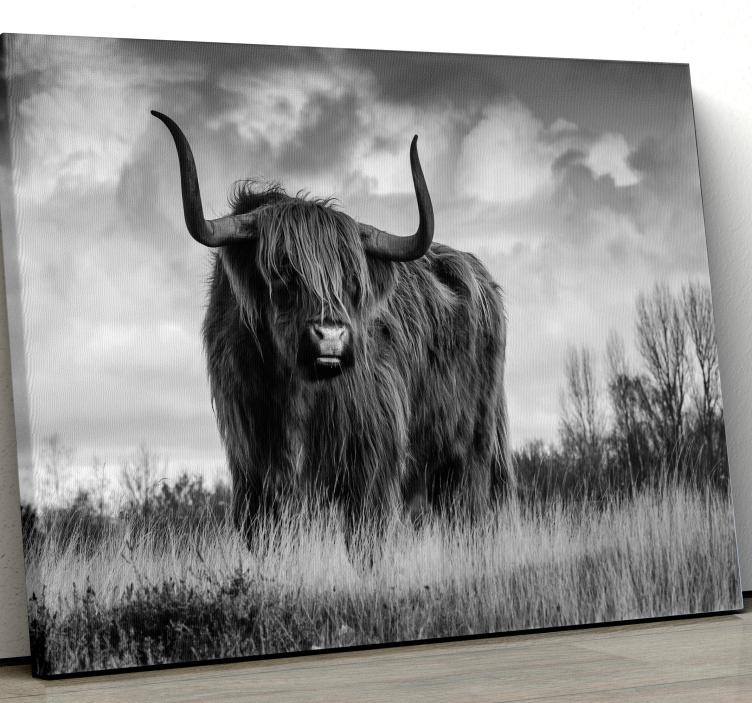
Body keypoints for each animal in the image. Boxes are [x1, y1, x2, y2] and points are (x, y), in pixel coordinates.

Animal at [152, 110, 514, 546]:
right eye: (282, 271)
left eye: (352, 280)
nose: (331, 337)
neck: (294, 394)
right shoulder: (253, 472)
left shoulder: (372, 466)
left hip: (471, 456)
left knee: (470, 519)